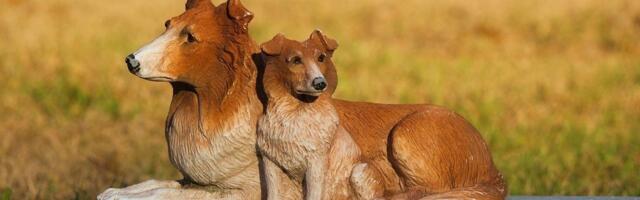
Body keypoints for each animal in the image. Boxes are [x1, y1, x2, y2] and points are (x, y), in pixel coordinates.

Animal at [258, 31, 382, 200]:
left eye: (321, 58)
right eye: (296, 60)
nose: (320, 83)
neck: (295, 114)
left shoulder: (316, 163)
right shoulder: (270, 163)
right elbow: (273, 194)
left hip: (359, 173)